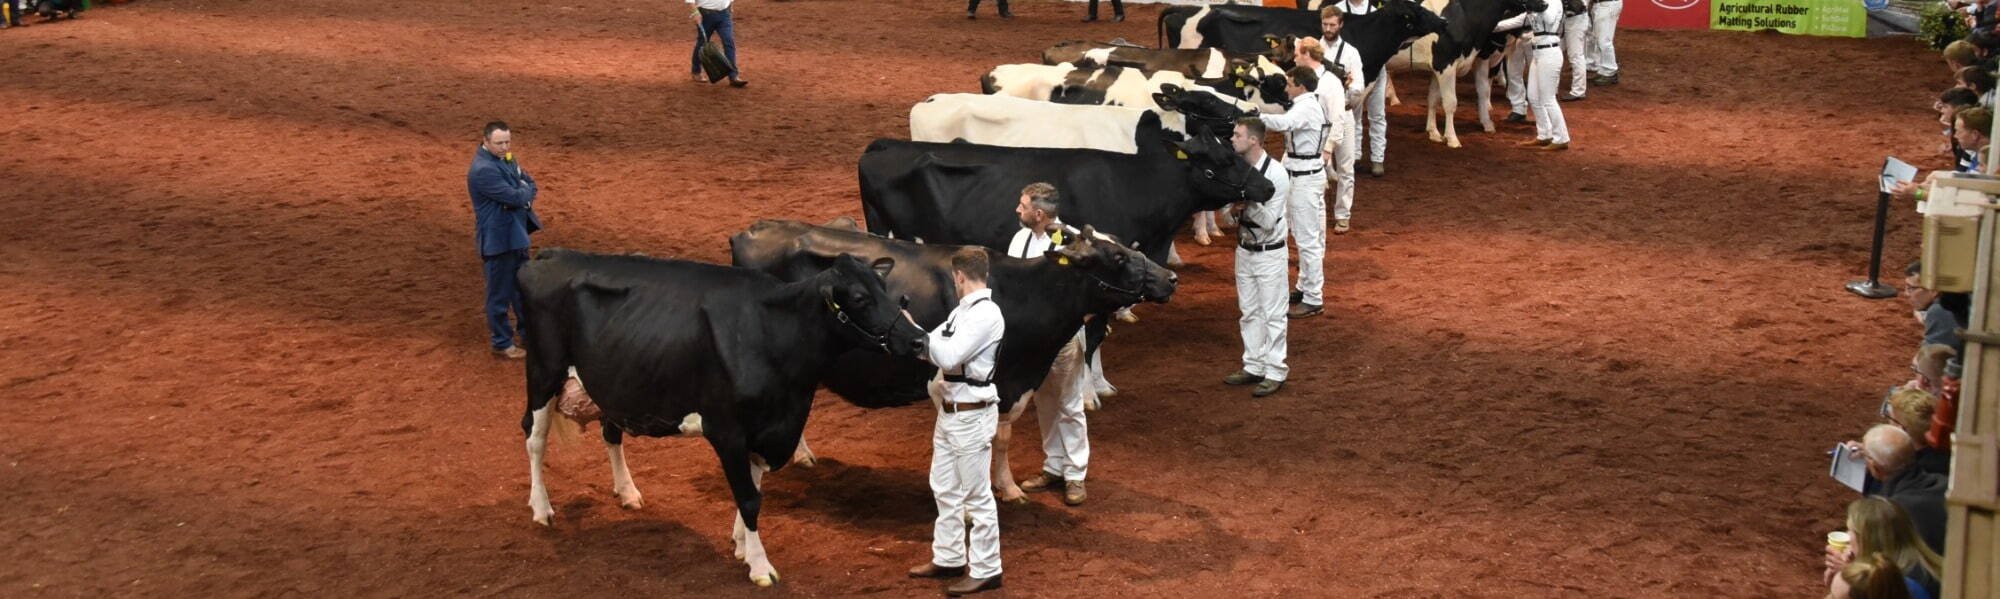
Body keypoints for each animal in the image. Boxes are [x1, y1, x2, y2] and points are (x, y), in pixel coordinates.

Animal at [512, 245, 924, 587]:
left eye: (887, 290)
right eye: (859, 297)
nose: (918, 339)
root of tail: (550, 254)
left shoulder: (769, 428)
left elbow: (754, 489)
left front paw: (741, 544)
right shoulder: (728, 430)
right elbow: (750, 499)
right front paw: (760, 566)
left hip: (611, 381)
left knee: (610, 433)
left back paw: (627, 492)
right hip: (543, 372)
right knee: (534, 437)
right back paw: (542, 508)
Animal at [732, 217, 1176, 499]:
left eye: (1123, 246)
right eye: (1117, 258)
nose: (1170, 278)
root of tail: (752, 229)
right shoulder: (987, 380)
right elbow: (996, 438)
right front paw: (1006, 489)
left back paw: (802, 455)